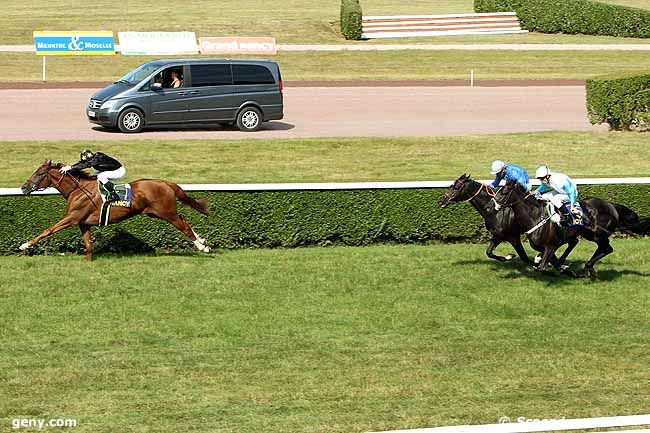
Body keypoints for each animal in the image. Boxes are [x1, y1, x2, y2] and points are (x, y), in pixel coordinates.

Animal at [20, 159, 211, 258]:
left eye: (39, 173)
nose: (24, 188)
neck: (78, 189)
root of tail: (165, 182)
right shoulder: (83, 223)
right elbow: (88, 244)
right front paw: (88, 262)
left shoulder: (73, 218)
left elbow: (49, 230)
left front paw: (24, 245)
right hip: (156, 213)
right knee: (184, 220)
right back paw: (202, 240)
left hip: (167, 213)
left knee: (183, 226)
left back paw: (203, 247)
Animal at [492, 180, 648, 276]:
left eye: (504, 192)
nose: (492, 206)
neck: (535, 215)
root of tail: (612, 206)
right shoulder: (547, 247)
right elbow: (546, 263)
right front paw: (562, 266)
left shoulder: (550, 246)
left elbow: (541, 268)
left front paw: (567, 271)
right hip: (586, 233)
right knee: (581, 243)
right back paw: (586, 268)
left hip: (596, 234)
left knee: (607, 248)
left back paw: (587, 268)